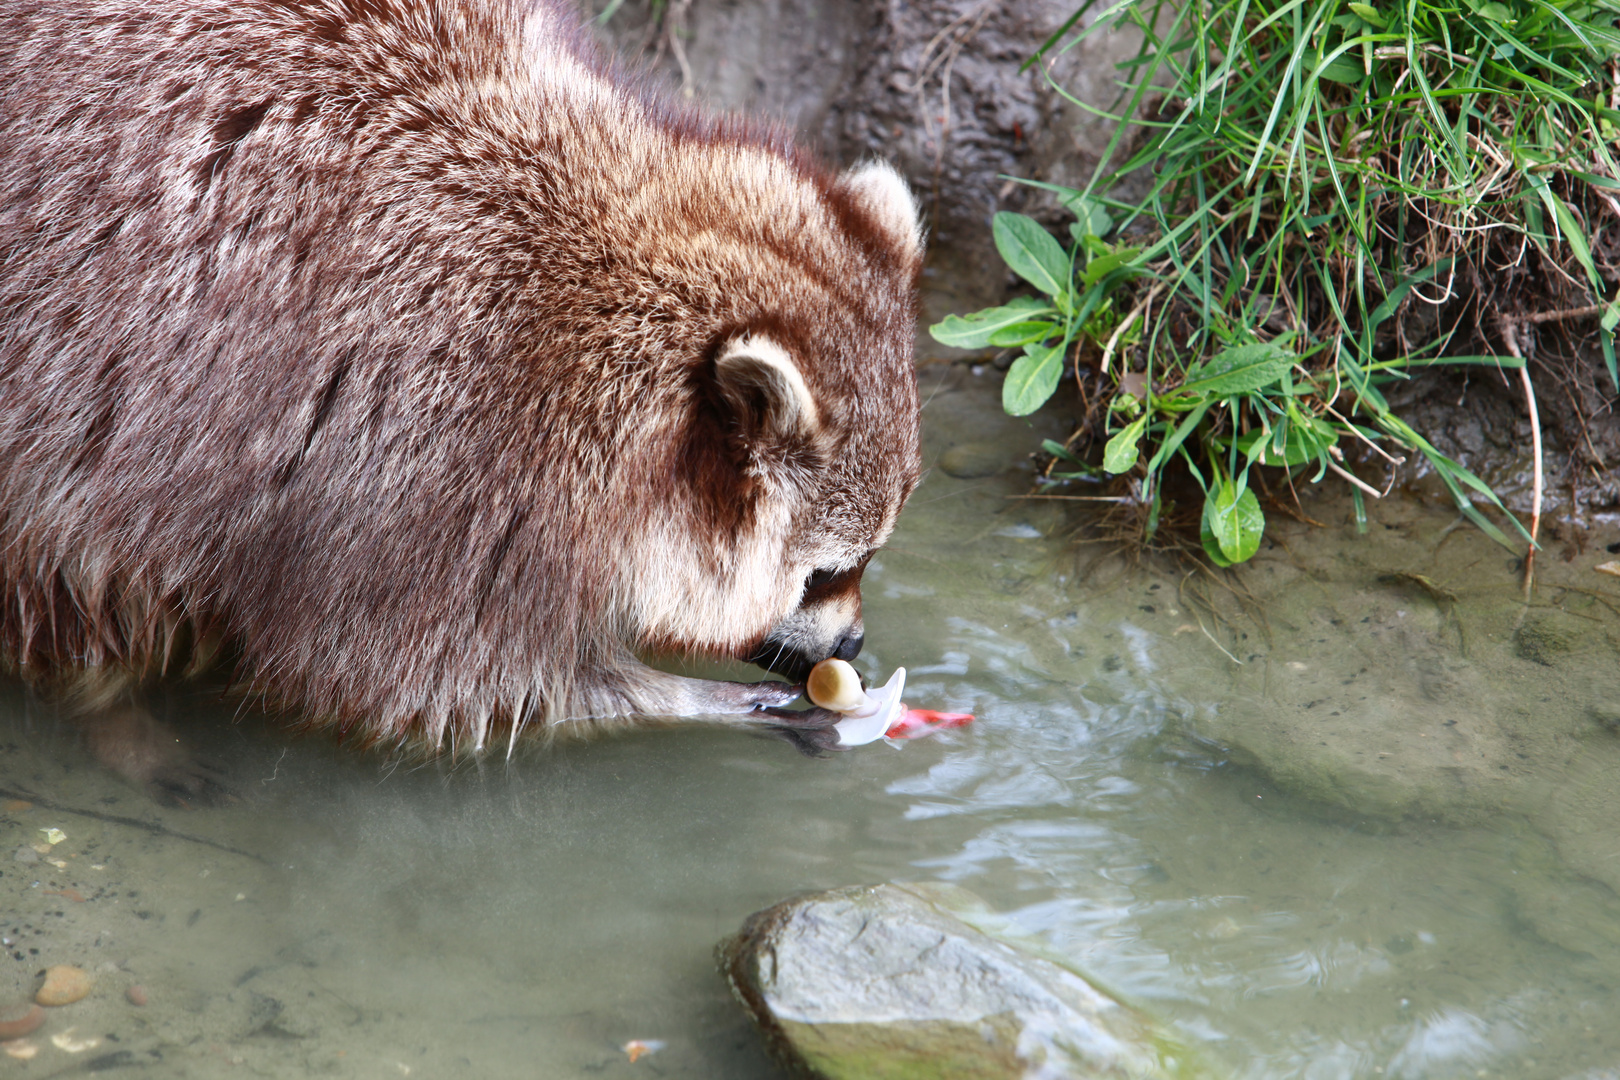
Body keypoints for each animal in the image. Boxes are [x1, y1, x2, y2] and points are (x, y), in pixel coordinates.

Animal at [0, 0, 926, 767]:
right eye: (826, 572)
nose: (851, 646)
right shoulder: (421, 448)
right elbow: (421, 681)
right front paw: (693, 697)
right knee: (75, 570)